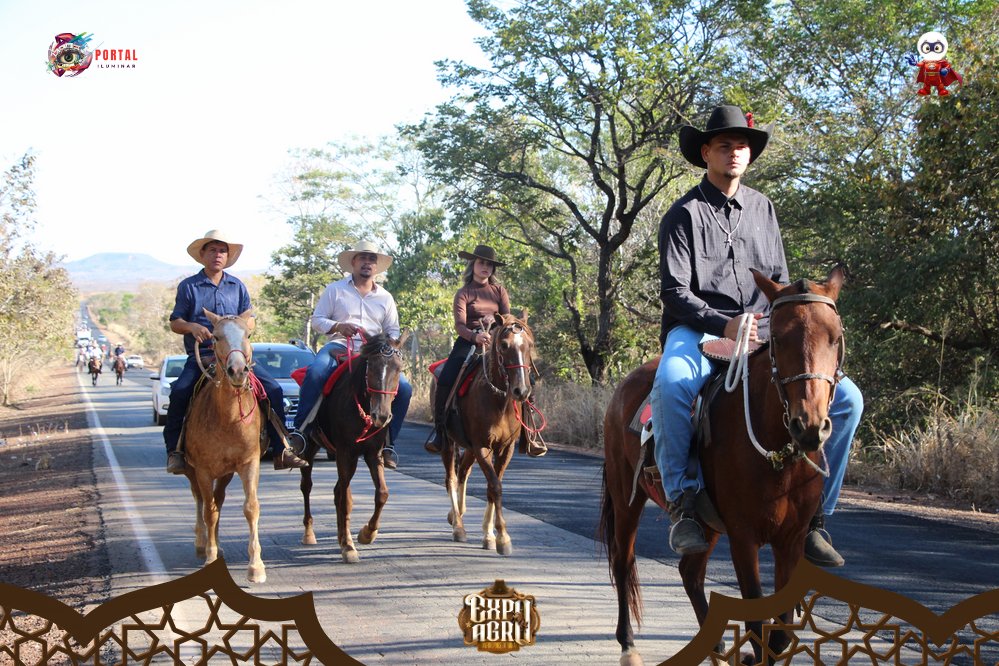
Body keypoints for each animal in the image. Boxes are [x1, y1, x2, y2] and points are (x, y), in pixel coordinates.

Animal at [182, 308, 268, 583]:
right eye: (216, 337)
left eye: (248, 334)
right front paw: (209, 556)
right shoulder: (203, 470)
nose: (238, 371)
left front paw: (256, 566)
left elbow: (251, 508)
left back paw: (217, 545)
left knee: (217, 501)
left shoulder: (249, 463)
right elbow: (208, 511)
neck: (228, 419)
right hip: (192, 471)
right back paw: (203, 543)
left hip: (226, 473)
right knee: (201, 501)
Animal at [299, 332, 409, 564]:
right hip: (311, 448)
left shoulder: (372, 454)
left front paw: (367, 533)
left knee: (337, 491)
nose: (381, 416)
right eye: (371, 367)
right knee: (307, 486)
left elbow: (381, 493)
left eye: (398, 368)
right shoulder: (345, 452)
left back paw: (341, 536)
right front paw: (349, 546)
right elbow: (346, 500)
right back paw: (310, 533)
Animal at [432, 312, 536, 555]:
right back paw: (458, 527)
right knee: (451, 478)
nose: (521, 391)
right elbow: (495, 487)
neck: (499, 401)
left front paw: (489, 535)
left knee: (463, 472)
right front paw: (503, 538)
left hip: (469, 448)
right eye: (504, 345)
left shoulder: (505, 448)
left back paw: (457, 515)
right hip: (448, 443)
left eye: (529, 345)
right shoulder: (482, 446)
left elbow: (492, 487)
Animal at [600, 267, 846, 665]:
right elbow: (758, 624)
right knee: (623, 561)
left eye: (835, 338)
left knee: (690, 572)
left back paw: (713, 644)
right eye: (777, 338)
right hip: (627, 499)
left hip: (707, 522)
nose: (809, 425)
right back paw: (629, 644)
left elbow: (779, 634)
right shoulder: (743, 537)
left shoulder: (790, 541)